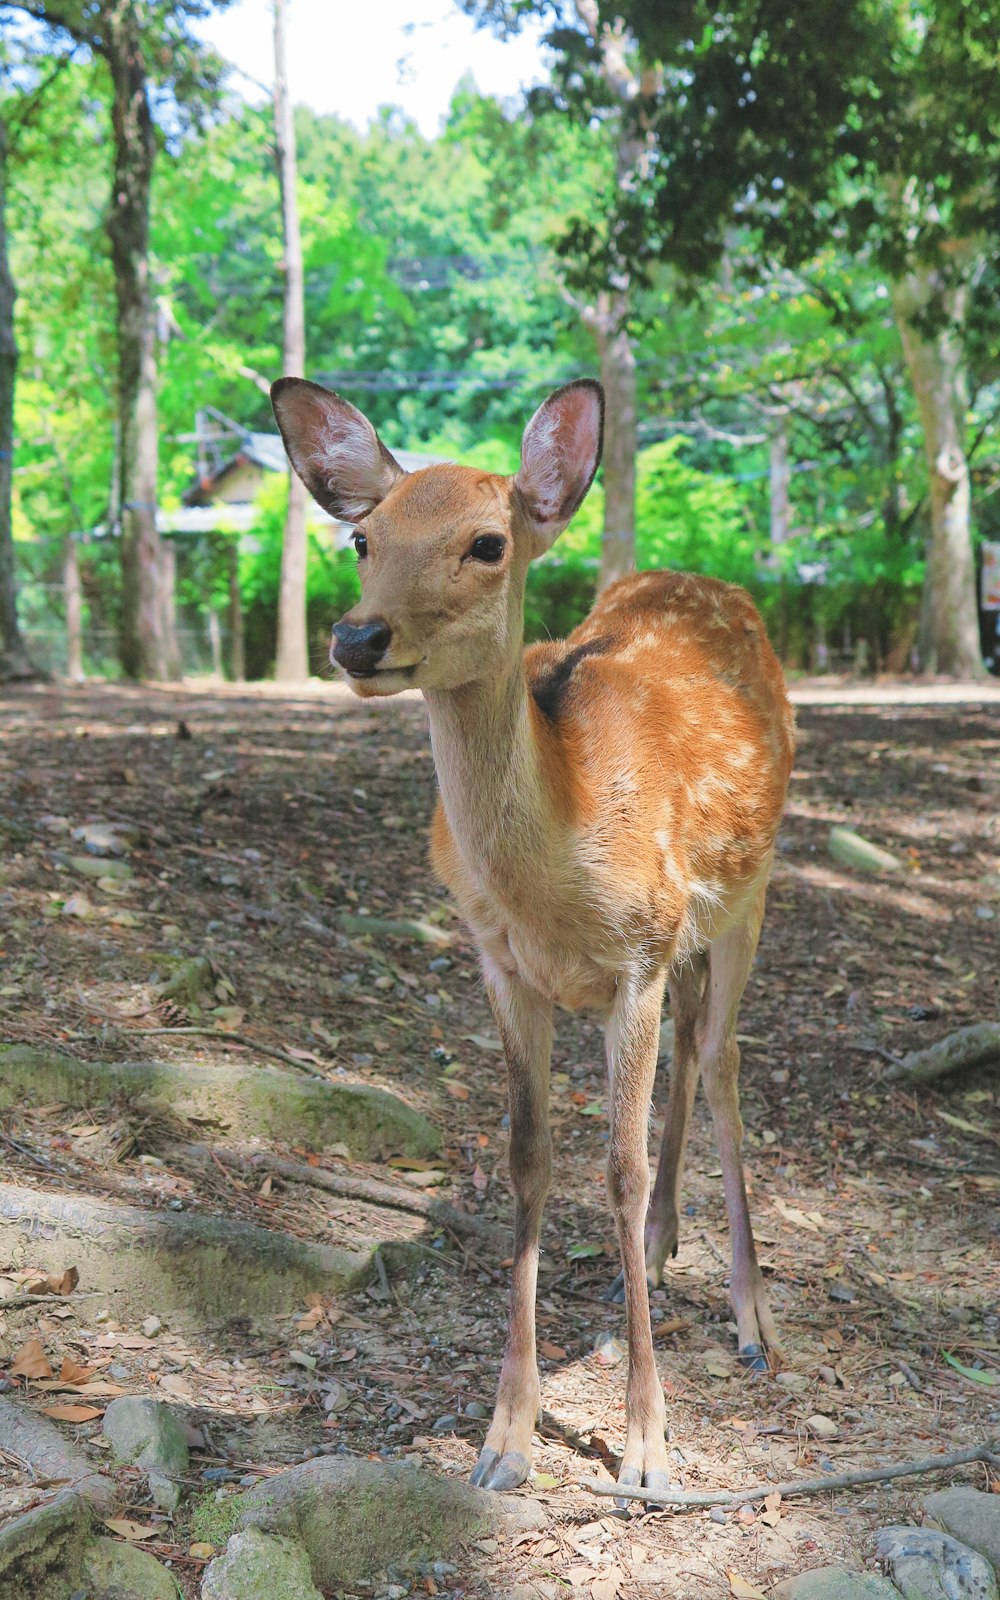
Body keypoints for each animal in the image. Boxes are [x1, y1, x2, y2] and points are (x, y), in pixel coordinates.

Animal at [268, 374, 790, 1497]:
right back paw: (667, 1246)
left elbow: (616, 1168)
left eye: (486, 542)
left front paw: (646, 1445)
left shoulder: (639, 952)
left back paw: (751, 1316)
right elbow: (525, 1156)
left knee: (724, 1058)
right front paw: (504, 1435)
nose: (355, 639)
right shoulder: (499, 961)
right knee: (692, 1052)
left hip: (748, 893)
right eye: (362, 538)